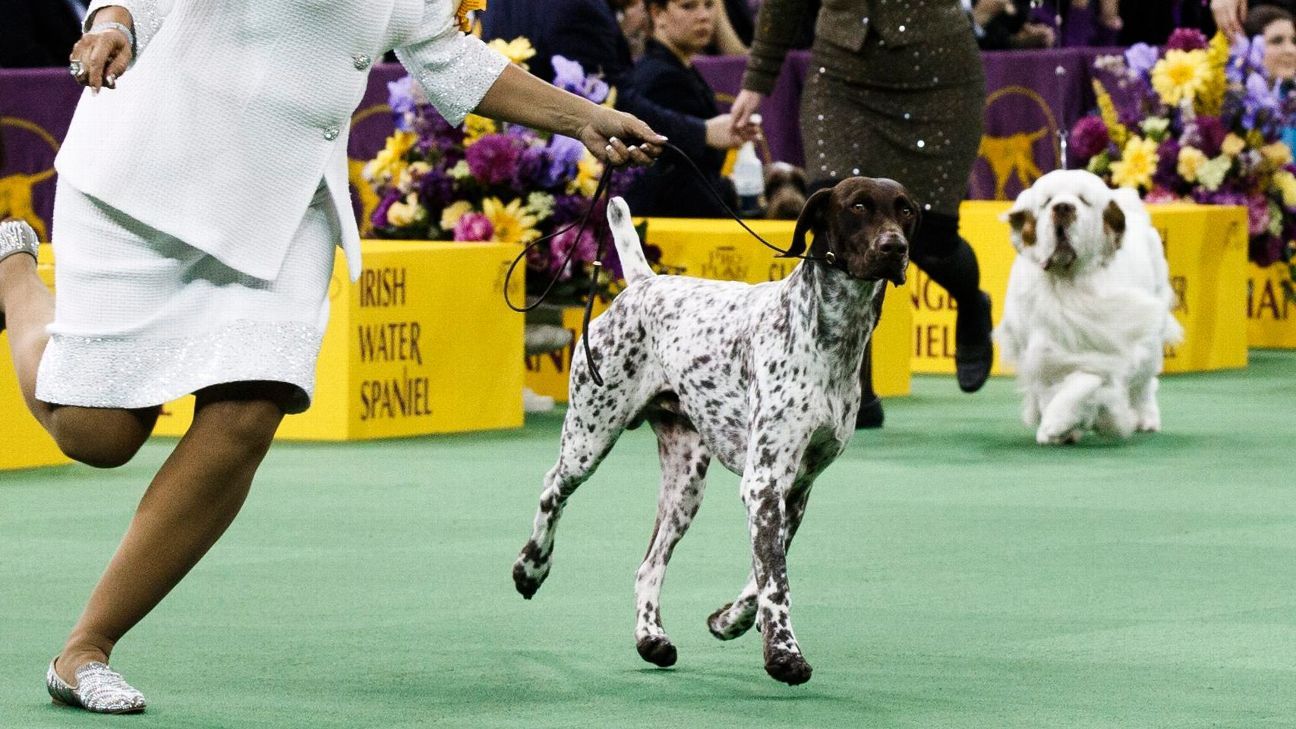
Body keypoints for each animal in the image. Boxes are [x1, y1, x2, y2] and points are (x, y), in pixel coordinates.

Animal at [510, 179, 917, 684]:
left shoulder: (794, 491)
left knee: (648, 566)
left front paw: (730, 620)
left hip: (685, 486)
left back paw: (652, 638)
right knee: (552, 490)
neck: (832, 340)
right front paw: (784, 653)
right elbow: (776, 582)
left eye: (906, 211)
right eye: (858, 206)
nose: (894, 247)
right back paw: (531, 568)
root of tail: (643, 284)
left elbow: (763, 575)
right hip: (589, 439)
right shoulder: (764, 482)